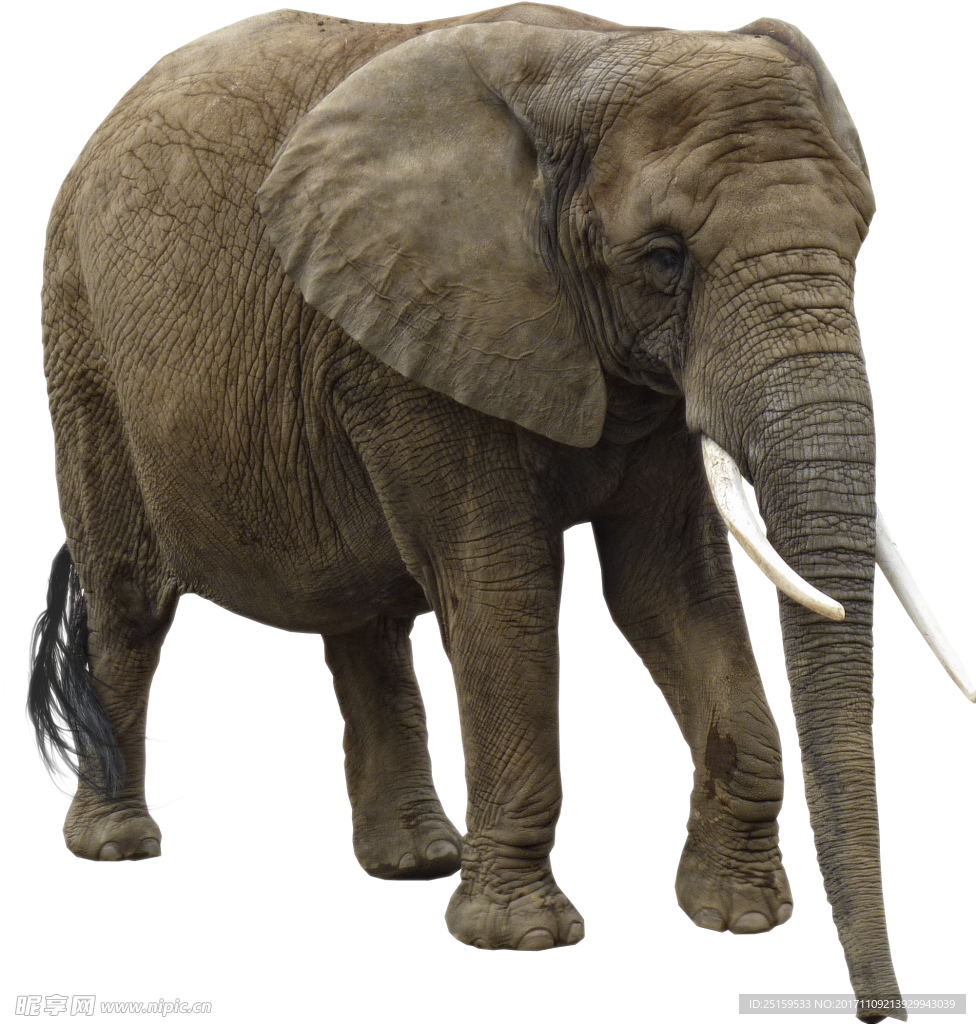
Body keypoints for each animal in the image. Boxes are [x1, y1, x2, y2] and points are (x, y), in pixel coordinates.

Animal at [30, 4, 972, 1019]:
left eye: (859, 239)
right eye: (664, 260)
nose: (882, 1009)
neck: (597, 56)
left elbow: (668, 590)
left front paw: (741, 918)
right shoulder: (425, 335)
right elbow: (503, 587)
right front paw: (522, 939)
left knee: (366, 619)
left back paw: (416, 861)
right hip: (81, 337)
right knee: (131, 600)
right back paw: (118, 844)